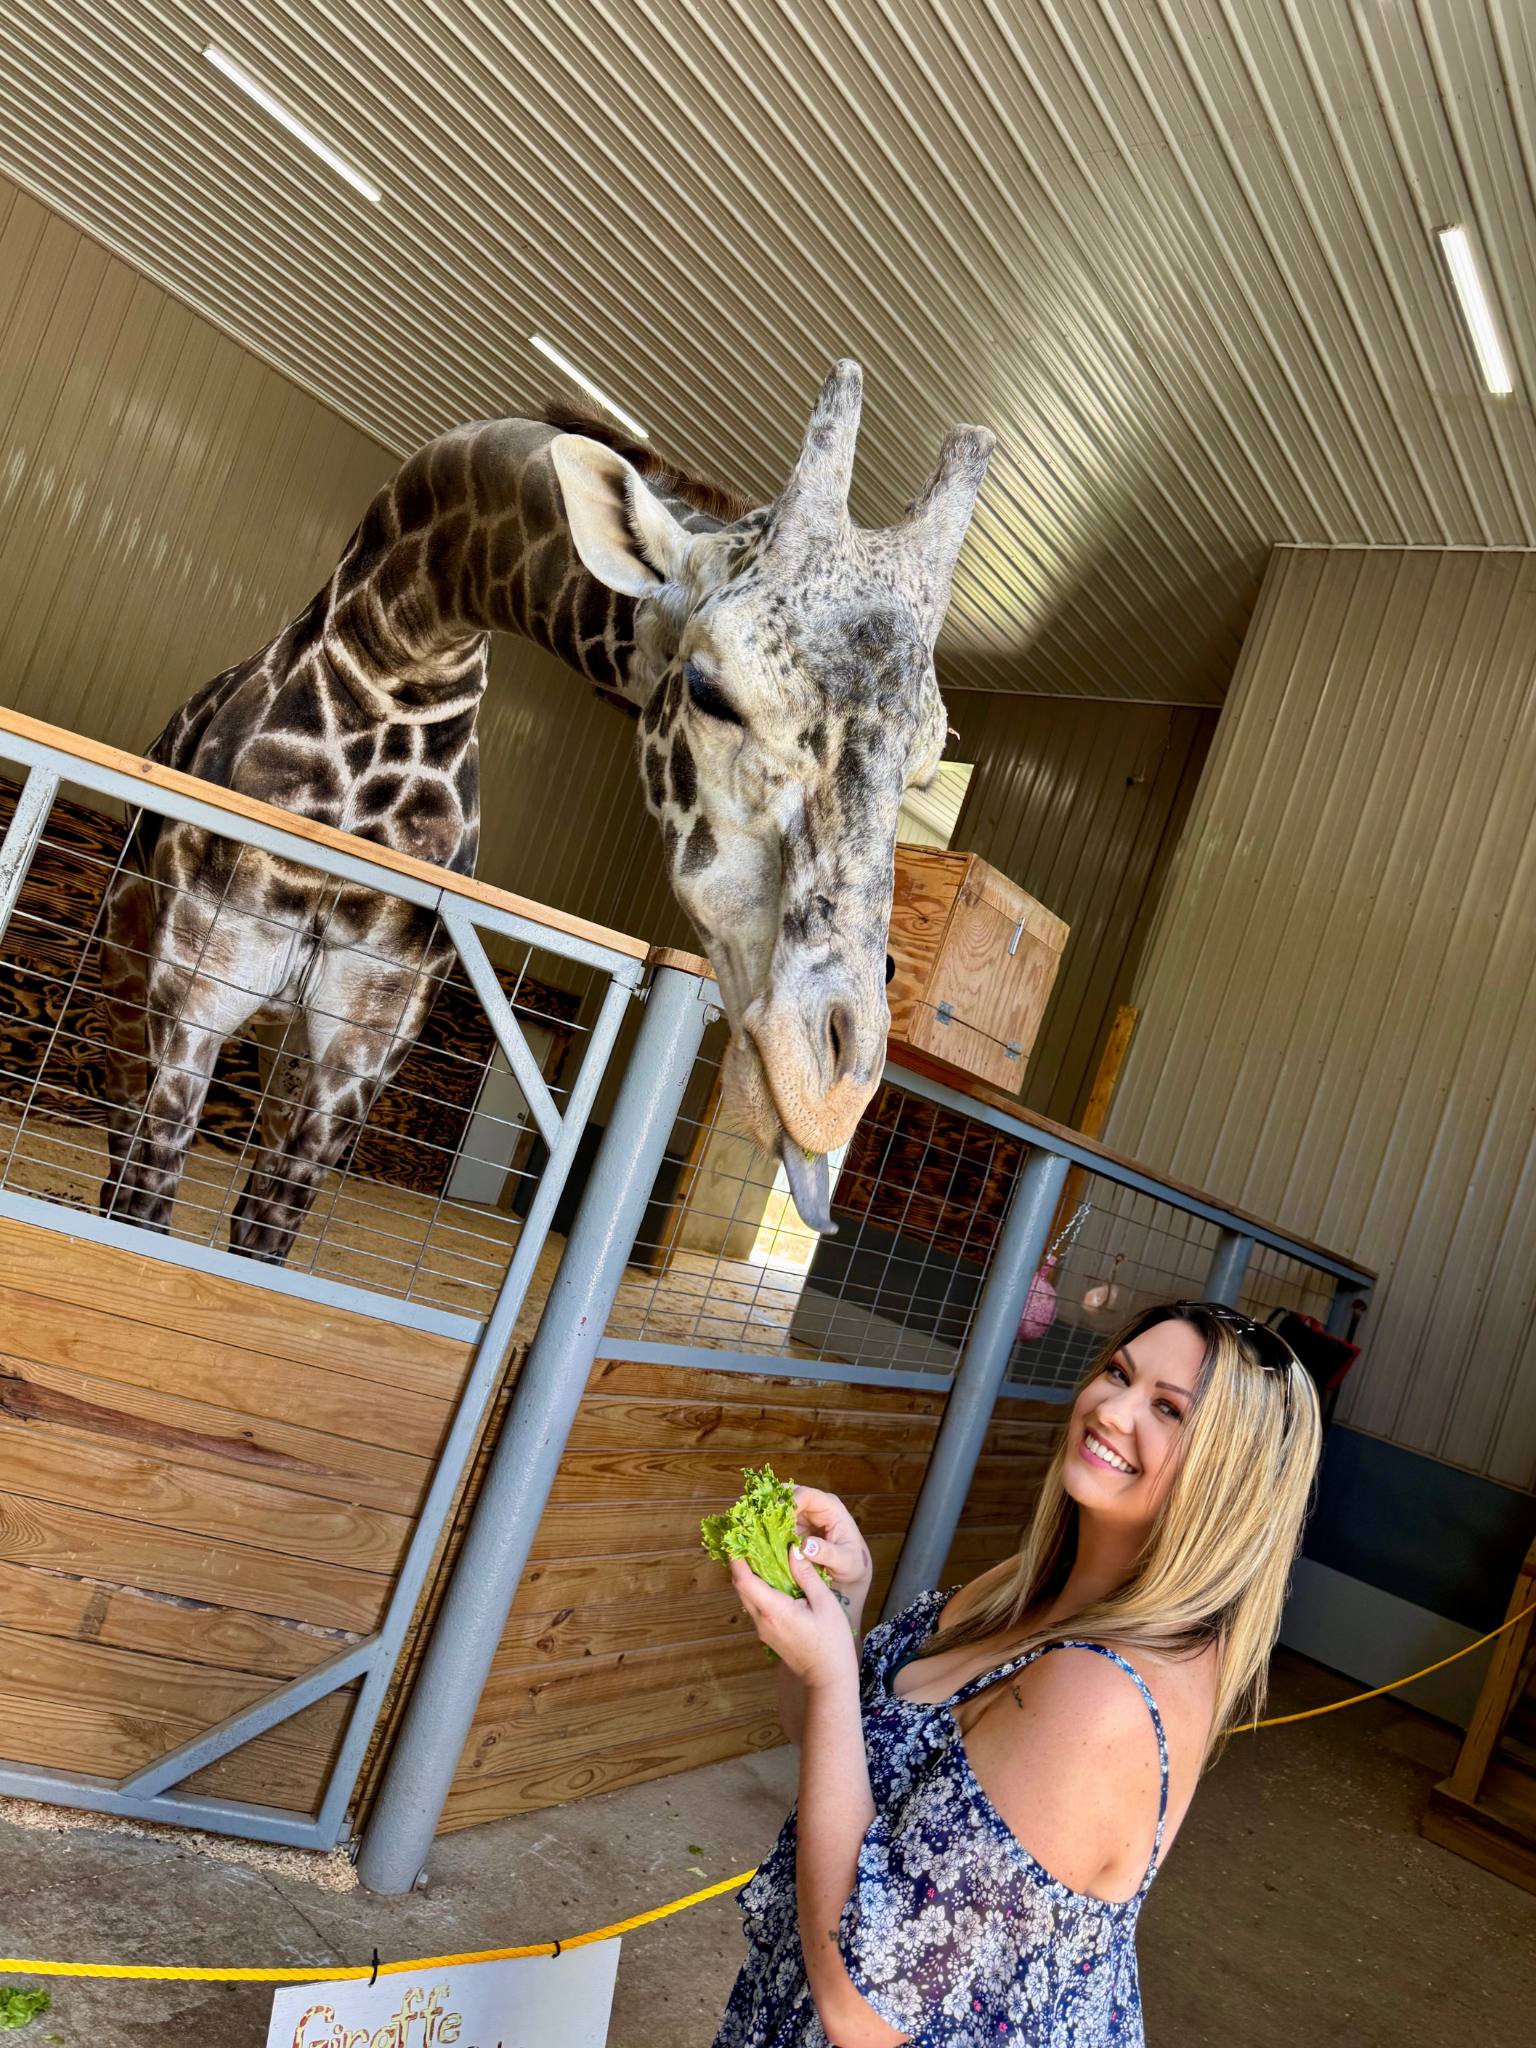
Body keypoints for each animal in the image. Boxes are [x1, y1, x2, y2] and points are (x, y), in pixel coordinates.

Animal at [95, 360, 992, 1255]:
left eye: (923, 769)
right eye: (710, 691)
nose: (829, 1090)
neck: (393, 671)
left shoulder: (367, 1029)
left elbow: (262, 1243)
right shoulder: (201, 990)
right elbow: (144, 1220)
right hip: (129, 961)